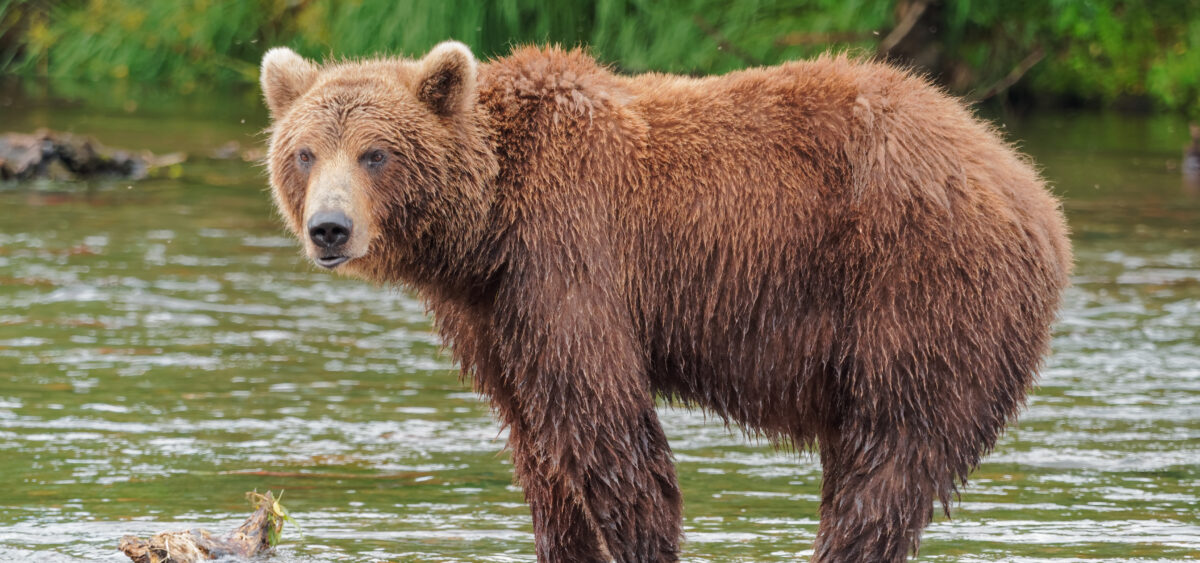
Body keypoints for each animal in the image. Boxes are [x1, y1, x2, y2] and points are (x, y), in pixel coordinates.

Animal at [260, 41, 1070, 559]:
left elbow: (606, 428)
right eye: (304, 151)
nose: (329, 228)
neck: (486, 228)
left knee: (887, 460)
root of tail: (1032, 188)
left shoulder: (569, 256)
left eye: (375, 153)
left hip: (919, 290)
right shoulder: (492, 313)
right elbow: (539, 447)